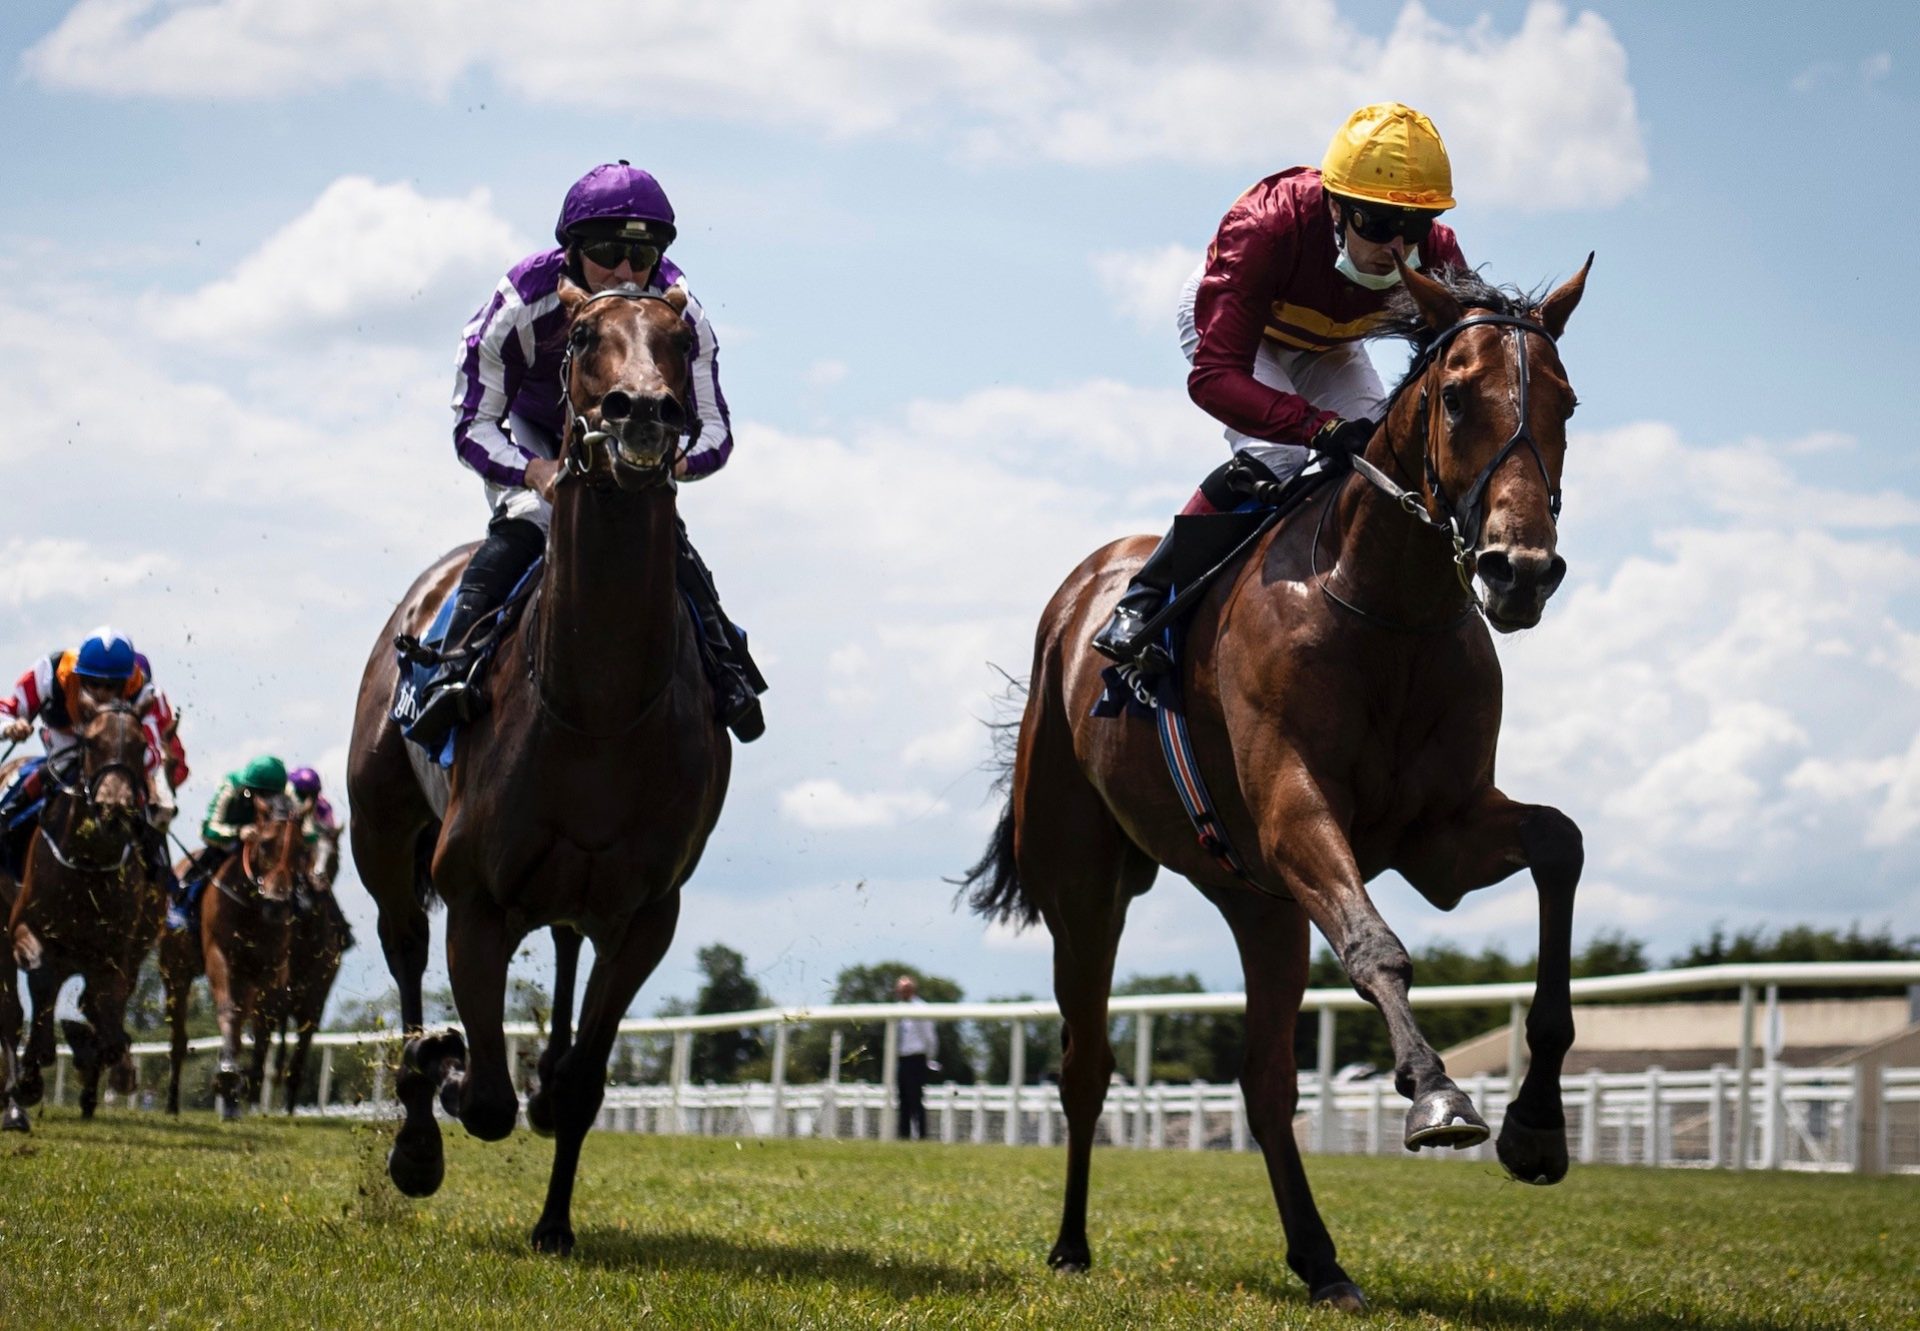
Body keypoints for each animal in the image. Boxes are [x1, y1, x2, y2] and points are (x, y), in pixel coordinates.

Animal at [0, 691, 161, 1129]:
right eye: (90, 743)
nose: (114, 807)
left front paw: (111, 1061)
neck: (87, 866)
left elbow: (106, 1010)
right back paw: (14, 1101)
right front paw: (32, 1073)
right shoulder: (26, 929)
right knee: (13, 1008)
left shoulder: (114, 953)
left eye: (141, 746)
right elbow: (41, 981)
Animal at [159, 798, 301, 1121]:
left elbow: (263, 1026)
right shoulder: (220, 958)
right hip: (175, 971)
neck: (252, 909)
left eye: (302, 849)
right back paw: (173, 1102)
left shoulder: (272, 970)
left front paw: (247, 1084)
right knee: (178, 1037)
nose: (276, 905)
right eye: (264, 844)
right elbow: (228, 1012)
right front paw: (226, 1074)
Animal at [349, 274, 729, 1252]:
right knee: (403, 948)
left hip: (574, 898)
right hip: (381, 834)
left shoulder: (647, 913)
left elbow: (583, 1082)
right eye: (586, 334)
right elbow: (484, 1095)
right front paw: (438, 1075)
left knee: (561, 953)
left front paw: (554, 1222)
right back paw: (418, 1112)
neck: (597, 708)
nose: (644, 411)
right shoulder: (475, 896)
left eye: (683, 341)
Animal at [967, 257, 1597, 1306]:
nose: (1521, 570)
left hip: (1259, 904)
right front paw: (1438, 1094)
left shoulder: (1443, 835)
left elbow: (1560, 844)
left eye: (1568, 402)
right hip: (1084, 886)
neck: (1384, 604)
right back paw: (1070, 1245)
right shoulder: (1295, 813)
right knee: (1085, 1063)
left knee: (1264, 1084)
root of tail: (1082, 591)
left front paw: (1536, 1125)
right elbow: (1379, 947)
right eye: (1457, 396)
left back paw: (1319, 1256)